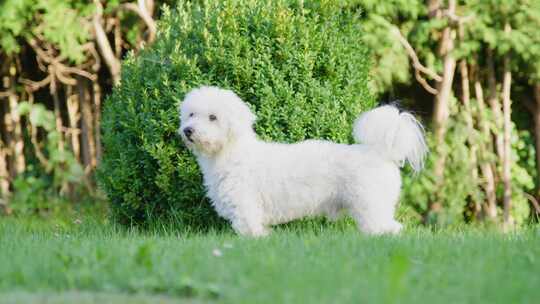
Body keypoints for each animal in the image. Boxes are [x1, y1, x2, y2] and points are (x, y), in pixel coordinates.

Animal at [179, 86, 428, 236]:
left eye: (213, 117)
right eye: (191, 114)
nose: (188, 130)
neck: (232, 152)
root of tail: (380, 152)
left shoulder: (245, 206)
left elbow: (250, 230)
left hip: (371, 205)